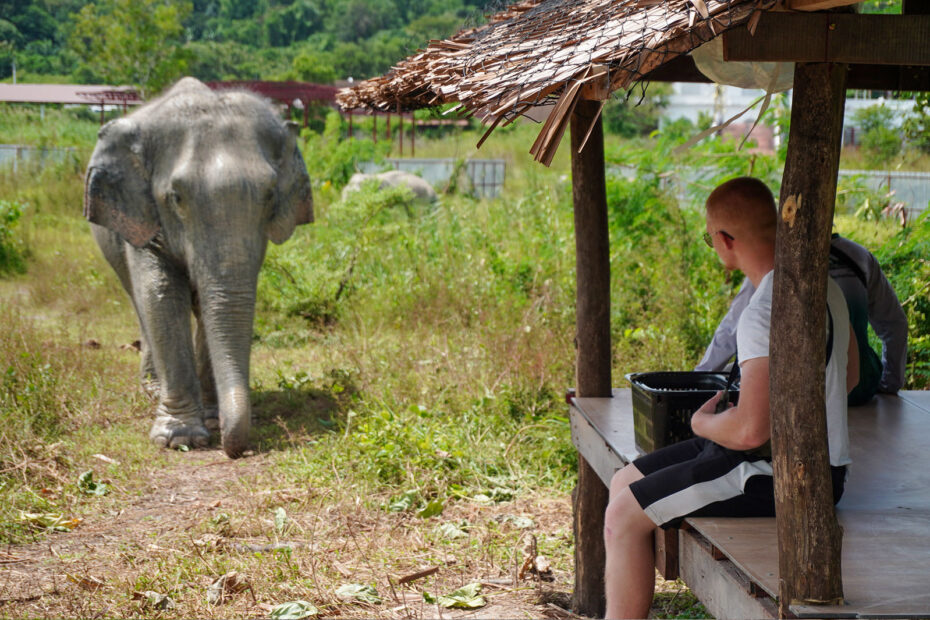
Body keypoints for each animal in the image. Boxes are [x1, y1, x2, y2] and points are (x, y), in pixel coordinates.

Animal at [84, 77, 313, 458]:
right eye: (176, 198)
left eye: (269, 196)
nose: (235, 450)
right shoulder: (142, 212)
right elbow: (160, 296)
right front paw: (180, 440)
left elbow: (217, 302)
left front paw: (213, 421)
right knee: (139, 302)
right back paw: (152, 389)